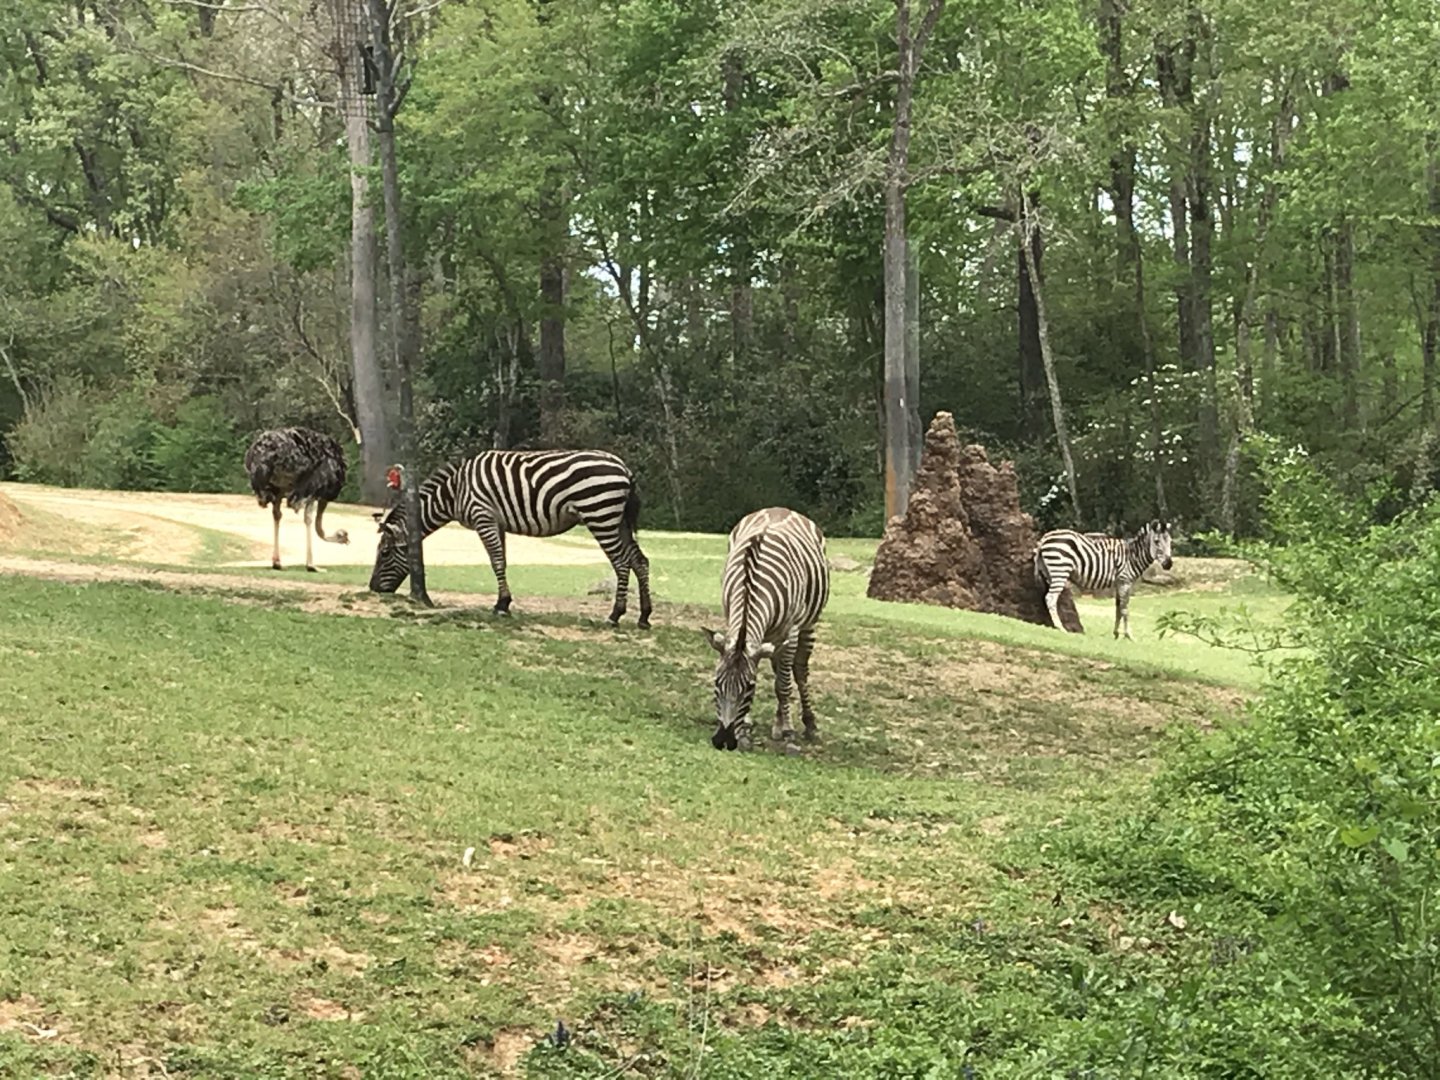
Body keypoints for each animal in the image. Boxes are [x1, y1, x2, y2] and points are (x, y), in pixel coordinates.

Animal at [244, 427, 350, 572]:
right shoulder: (314, 492)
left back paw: (277, 562)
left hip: (274, 488)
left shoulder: (282, 491)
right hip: (304, 488)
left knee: (276, 513)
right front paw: (311, 566)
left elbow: (278, 514)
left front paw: (277, 562)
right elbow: (308, 518)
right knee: (302, 515)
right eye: (344, 535)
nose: (347, 541)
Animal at [368, 449, 652, 627]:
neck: (455, 491)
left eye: (384, 553)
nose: (373, 588)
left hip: (600, 515)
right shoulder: (498, 523)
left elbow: (495, 561)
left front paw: (501, 604)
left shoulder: (483, 516)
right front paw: (504, 602)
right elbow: (502, 560)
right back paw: (644, 617)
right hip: (617, 520)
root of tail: (625, 469)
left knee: (621, 563)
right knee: (640, 560)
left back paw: (615, 615)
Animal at [700, 507, 830, 751]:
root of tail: (781, 509)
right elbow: (771, 675)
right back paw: (777, 725)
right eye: (716, 682)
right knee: (780, 669)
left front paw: (789, 732)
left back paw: (807, 725)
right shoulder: (736, 624)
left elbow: (784, 684)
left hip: (808, 624)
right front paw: (745, 730)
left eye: (749, 688)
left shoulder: (791, 631)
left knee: (798, 671)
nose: (724, 741)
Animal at [1034, 520, 1173, 639]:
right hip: (1060, 569)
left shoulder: (1119, 583)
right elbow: (1125, 609)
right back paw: (1060, 627)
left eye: (1170, 541)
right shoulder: (1125, 581)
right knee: (1050, 598)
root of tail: (1045, 537)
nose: (1169, 564)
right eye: (1156, 541)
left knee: (1048, 597)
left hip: (1049, 573)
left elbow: (1118, 608)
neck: (1132, 556)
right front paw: (1129, 635)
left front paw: (1116, 634)